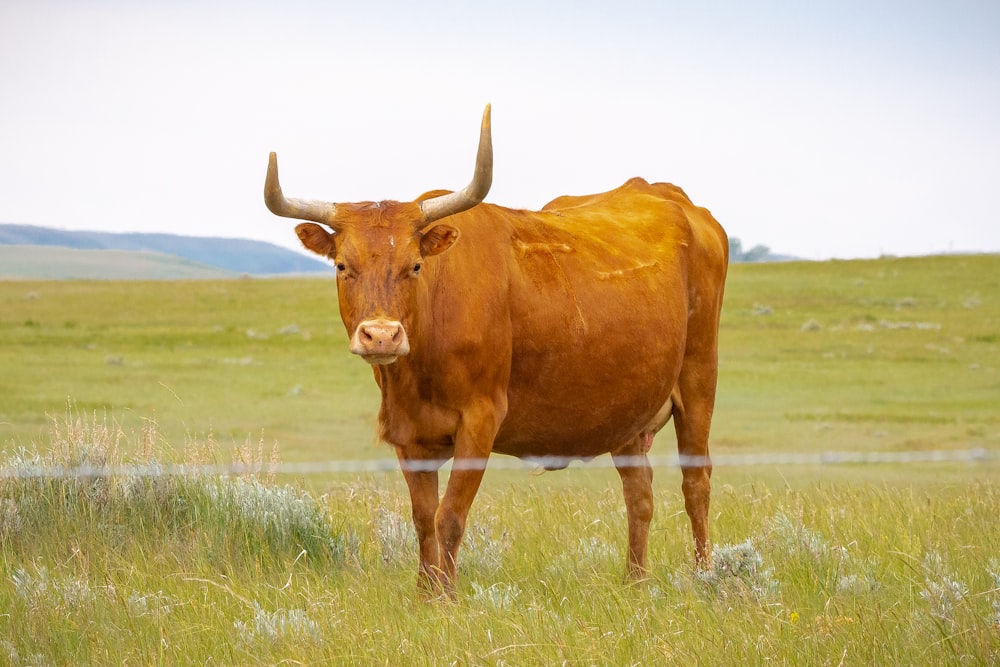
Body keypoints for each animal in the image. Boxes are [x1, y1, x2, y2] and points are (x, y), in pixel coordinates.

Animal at [264, 107, 728, 596]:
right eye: (341, 266)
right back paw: (634, 582)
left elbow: (450, 517)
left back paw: (704, 575)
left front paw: (446, 597)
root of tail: (666, 194)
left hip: (699, 380)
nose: (382, 335)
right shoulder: (409, 434)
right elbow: (423, 520)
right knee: (639, 493)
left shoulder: (480, 420)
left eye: (415, 265)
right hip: (628, 411)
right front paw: (425, 593)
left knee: (696, 482)